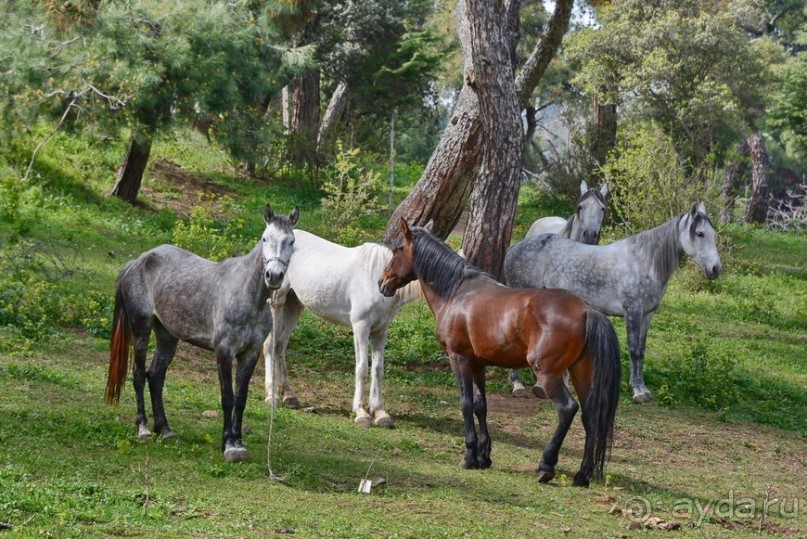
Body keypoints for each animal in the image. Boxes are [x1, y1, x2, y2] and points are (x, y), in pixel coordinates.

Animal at [105, 205, 298, 462]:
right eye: (265, 238)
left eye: (291, 241)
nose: (274, 276)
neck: (246, 294)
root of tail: (138, 261)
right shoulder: (224, 351)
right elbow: (228, 398)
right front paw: (229, 446)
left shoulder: (250, 353)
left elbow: (241, 399)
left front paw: (238, 442)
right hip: (141, 329)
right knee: (138, 375)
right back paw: (144, 428)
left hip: (167, 335)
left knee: (155, 377)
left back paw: (164, 429)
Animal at [264, 231, 422, 430]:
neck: (375, 277)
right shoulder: (360, 326)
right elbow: (362, 368)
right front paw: (361, 413)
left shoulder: (380, 331)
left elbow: (378, 369)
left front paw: (380, 413)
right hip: (277, 301)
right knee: (269, 345)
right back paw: (272, 396)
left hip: (295, 304)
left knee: (280, 345)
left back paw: (290, 396)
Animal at [378, 221, 624, 488]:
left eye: (398, 249)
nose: (382, 282)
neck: (457, 292)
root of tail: (586, 310)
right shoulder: (478, 364)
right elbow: (481, 405)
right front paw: (484, 456)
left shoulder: (459, 359)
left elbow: (466, 404)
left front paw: (469, 456)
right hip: (581, 374)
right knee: (591, 416)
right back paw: (582, 475)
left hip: (548, 374)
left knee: (568, 409)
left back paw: (546, 465)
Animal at [504, 204, 724, 404]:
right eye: (700, 233)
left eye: (713, 234)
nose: (716, 269)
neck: (644, 262)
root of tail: (515, 249)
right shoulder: (632, 311)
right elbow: (634, 350)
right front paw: (638, 392)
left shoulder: (647, 315)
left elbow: (641, 351)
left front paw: (644, 389)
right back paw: (518, 385)